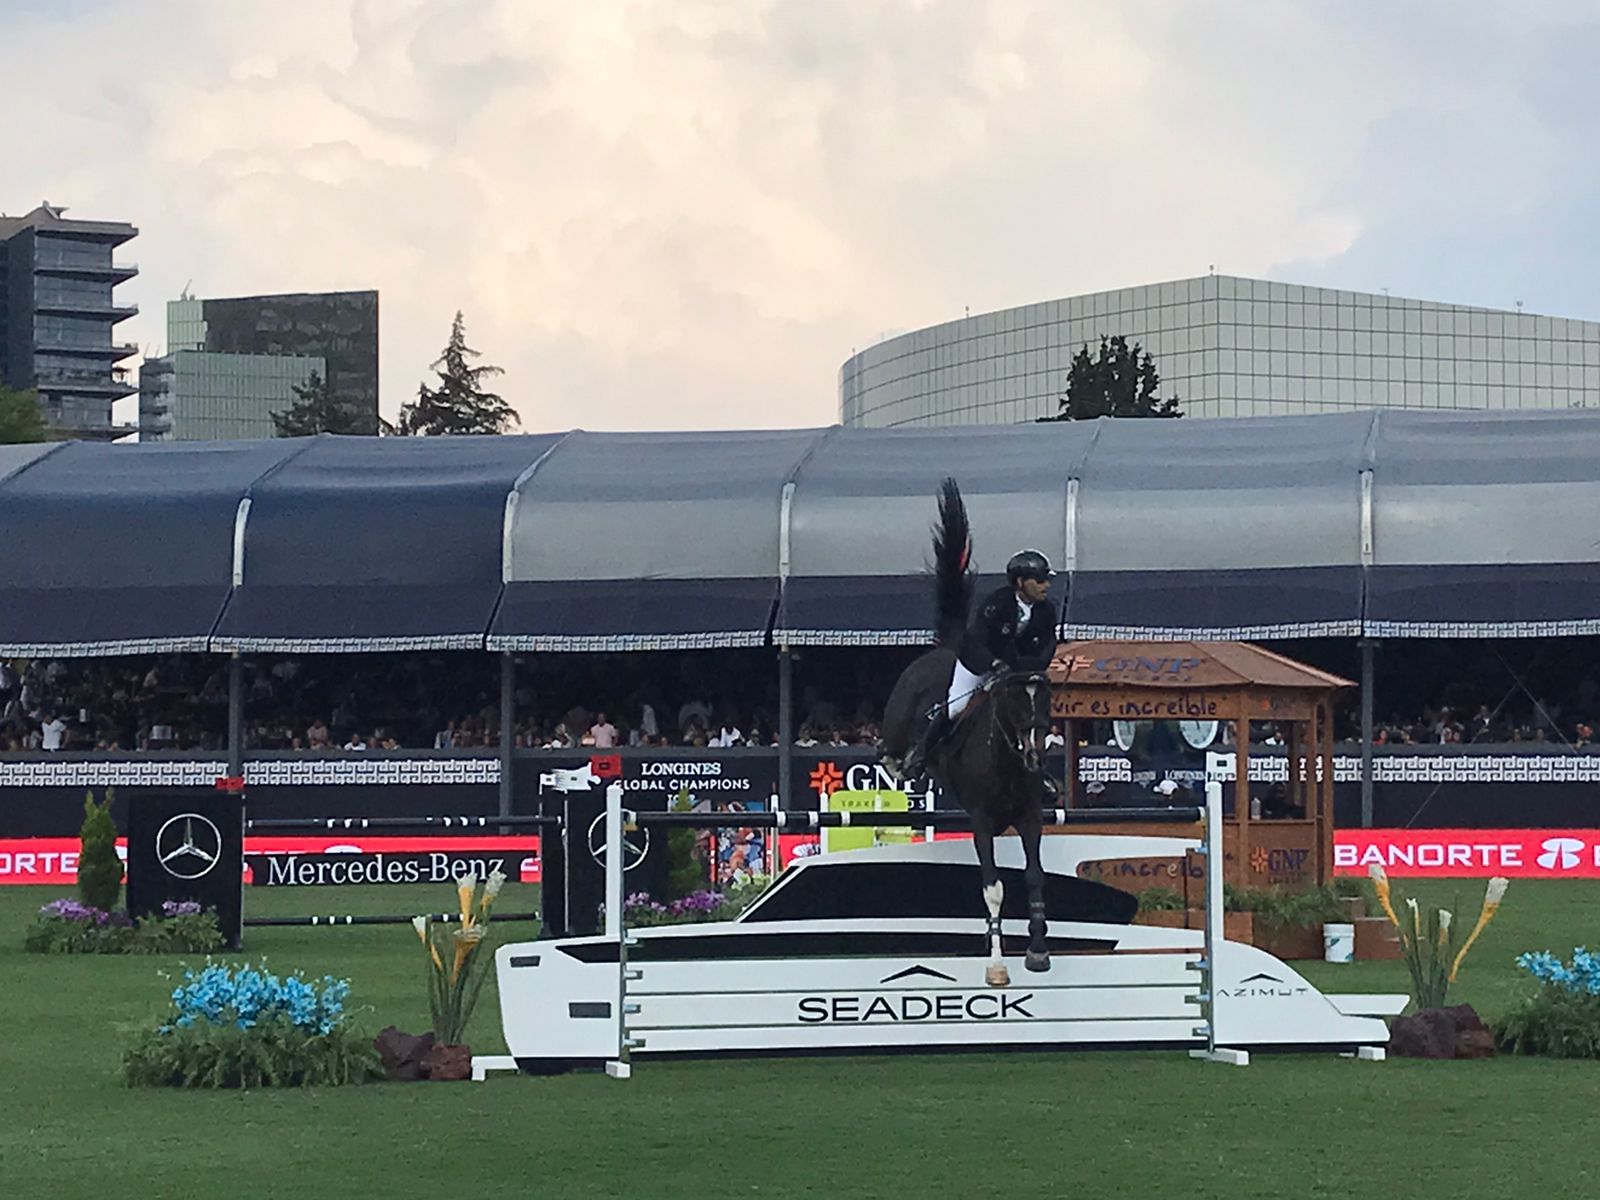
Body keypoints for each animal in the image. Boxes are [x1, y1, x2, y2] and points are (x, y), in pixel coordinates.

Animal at [883, 476, 1056, 985]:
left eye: (1048, 698)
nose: (1035, 755)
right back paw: (905, 764)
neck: (1008, 755)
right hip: (902, 718)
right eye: (1017, 699)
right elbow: (993, 888)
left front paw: (1038, 951)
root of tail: (946, 647)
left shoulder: (1030, 817)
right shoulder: (980, 820)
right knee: (893, 750)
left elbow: (1034, 878)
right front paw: (997, 966)